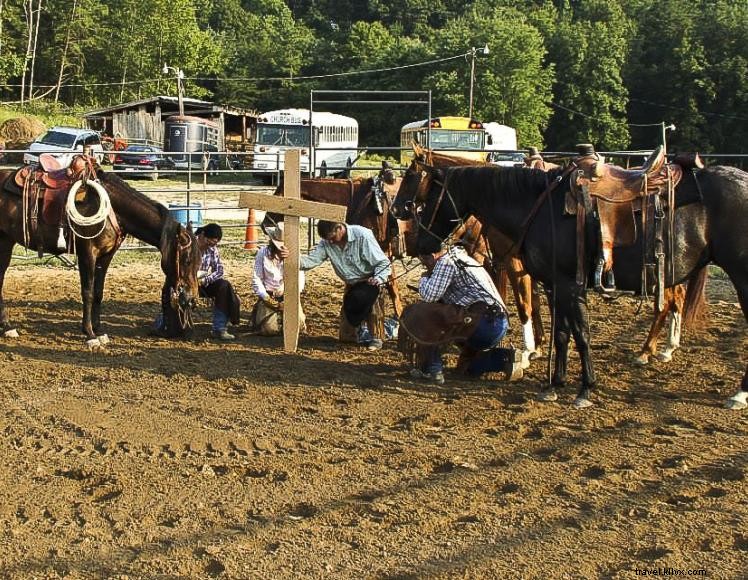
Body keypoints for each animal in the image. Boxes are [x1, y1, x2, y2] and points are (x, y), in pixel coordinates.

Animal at [0, 156, 202, 346]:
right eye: (186, 261)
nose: (192, 298)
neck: (111, 205)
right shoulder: (88, 253)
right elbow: (88, 292)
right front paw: (90, 334)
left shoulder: (106, 255)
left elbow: (98, 292)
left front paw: (98, 330)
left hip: (7, 242)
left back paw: (7, 327)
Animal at [392, 161, 748, 410]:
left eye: (425, 197)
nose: (420, 245)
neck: (538, 208)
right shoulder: (554, 286)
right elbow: (562, 334)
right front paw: (554, 384)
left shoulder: (570, 286)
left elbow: (581, 334)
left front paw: (585, 389)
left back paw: (736, 392)